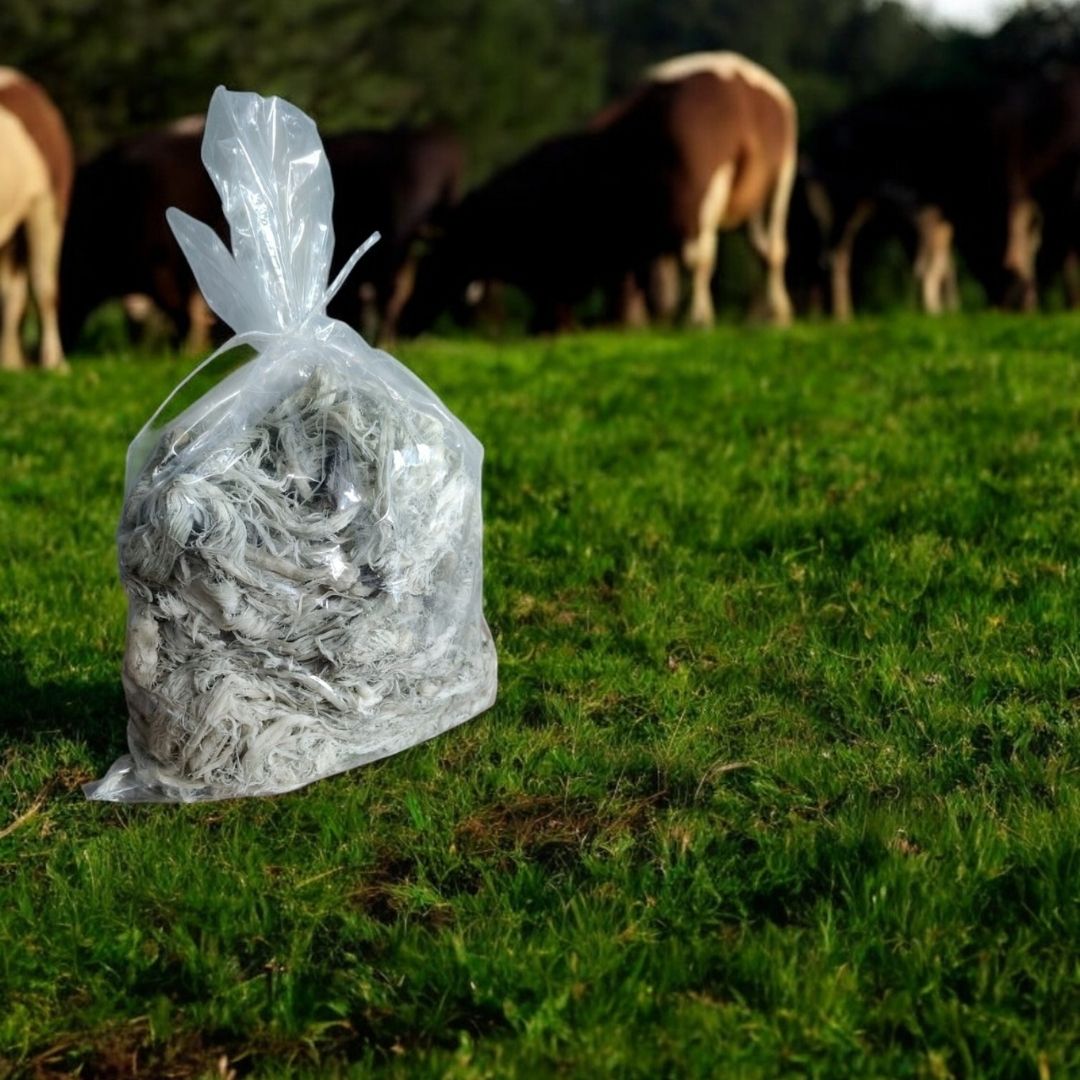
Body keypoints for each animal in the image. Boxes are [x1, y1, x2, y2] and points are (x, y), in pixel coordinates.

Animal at [401, 49, 799, 332]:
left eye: (429, 265)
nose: (405, 322)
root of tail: (745, 80)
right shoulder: (626, 248)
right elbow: (637, 287)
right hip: (774, 184)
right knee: (772, 251)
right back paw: (776, 315)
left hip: (704, 195)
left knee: (700, 257)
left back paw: (698, 318)